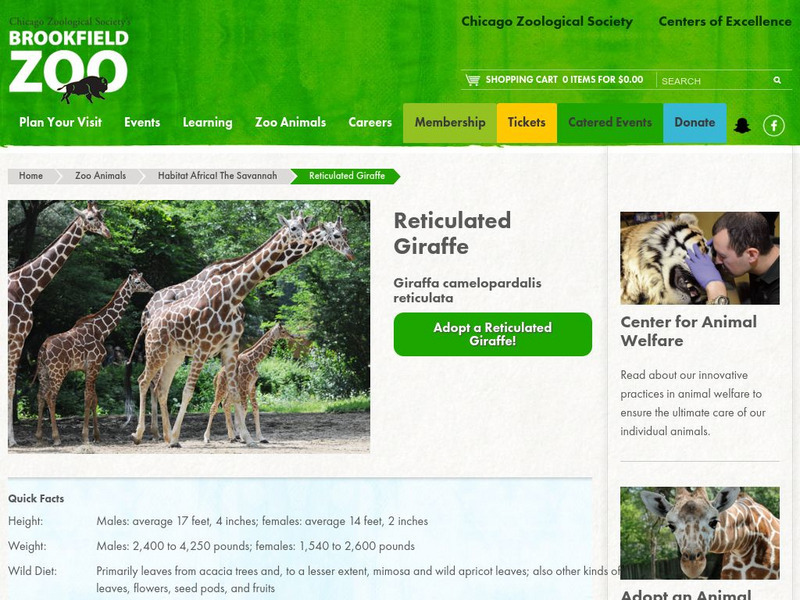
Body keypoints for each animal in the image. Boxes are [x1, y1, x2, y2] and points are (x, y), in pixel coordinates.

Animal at [8, 201, 111, 447]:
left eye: (102, 216)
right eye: (91, 218)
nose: (108, 233)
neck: (25, 289)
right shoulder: (16, 337)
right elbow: (10, 386)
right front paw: (12, 440)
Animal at [33, 270, 154, 445]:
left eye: (143, 279)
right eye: (138, 282)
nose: (151, 289)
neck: (101, 330)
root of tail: (43, 348)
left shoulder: (90, 368)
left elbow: (94, 398)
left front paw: (97, 435)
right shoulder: (94, 365)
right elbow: (88, 397)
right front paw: (85, 436)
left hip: (43, 372)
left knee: (40, 396)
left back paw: (39, 437)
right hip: (58, 371)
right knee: (51, 396)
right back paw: (56, 438)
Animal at [132, 216, 353, 448]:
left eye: (346, 231)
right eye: (336, 234)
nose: (350, 253)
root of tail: (148, 312)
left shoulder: (230, 345)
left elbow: (235, 393)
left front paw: (244, 436)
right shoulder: (206, 347)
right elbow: (194, 392)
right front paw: (234, 435)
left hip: (175, 354)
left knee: (160, 387)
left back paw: (165, 435)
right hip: (158, 351)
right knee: (145, 381)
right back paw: (144, 434)